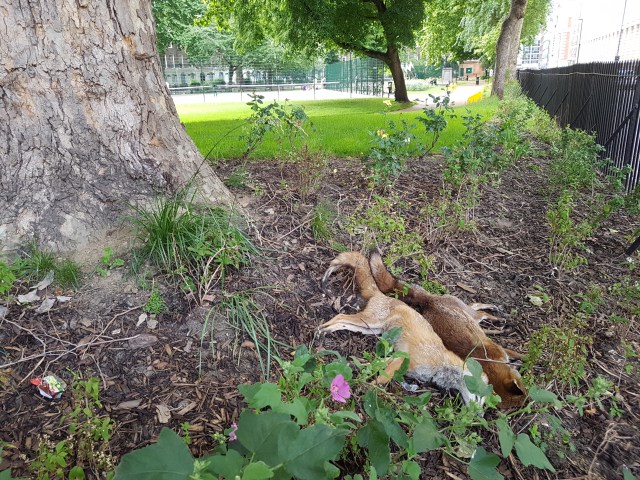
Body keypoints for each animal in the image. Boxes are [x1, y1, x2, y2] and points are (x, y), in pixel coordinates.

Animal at [319, 251, 488, 405]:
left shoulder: (396, 358)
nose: (478, 415)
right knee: (340, 316)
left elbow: (376, 364)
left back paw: (327, 330)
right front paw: (368, 388)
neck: (441, 363)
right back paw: (321, 329)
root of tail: (383, 295)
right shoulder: (404, 358)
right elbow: (382, 378)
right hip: (369, 321)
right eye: (478, 397)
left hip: (368, 328)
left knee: (343, 323)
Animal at [368, 251, 527, 409]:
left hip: (468, 314)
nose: (479, 414)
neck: (489, 362)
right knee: (480, 310)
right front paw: (526, 359)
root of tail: (430, 301)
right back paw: (495, 316)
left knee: (476, 306)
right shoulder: (500, 351)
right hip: (472, 315)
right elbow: (517, 354)